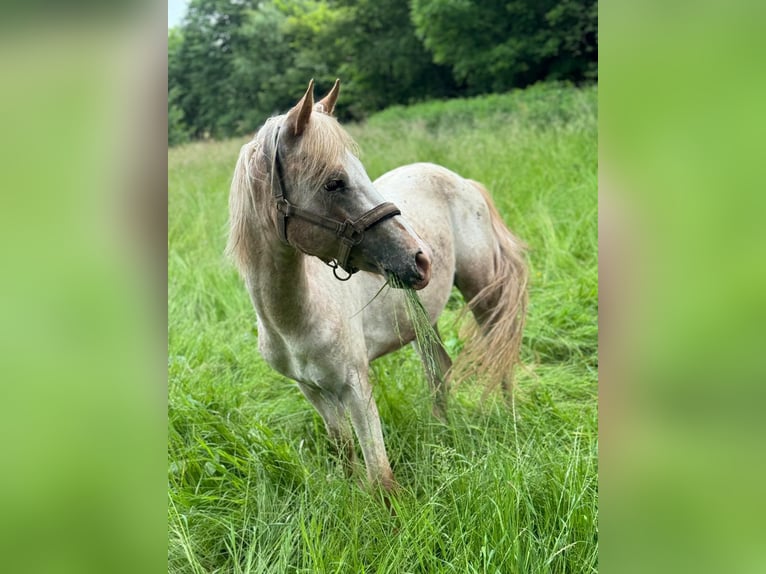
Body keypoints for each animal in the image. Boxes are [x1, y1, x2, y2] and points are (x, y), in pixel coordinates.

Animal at [228, 80, 528, 496]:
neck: (295, 319)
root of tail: (461, 181)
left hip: (482, 288)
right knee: (439, 369)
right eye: (334, 183)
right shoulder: (314, 392)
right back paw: (442, 433)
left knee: (500, 352)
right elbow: (345, 454)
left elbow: (381, 476)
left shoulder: (356, 387)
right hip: (422, 319)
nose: (420, 259)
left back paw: (510, 421)